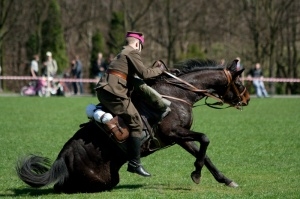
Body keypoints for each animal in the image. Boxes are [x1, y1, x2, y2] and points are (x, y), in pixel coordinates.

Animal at [16, 58, 251, 193]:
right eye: (240, 83)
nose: (248, 100)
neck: (178, 94)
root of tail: (62, 159)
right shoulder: (174, 132)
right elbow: (205, 139)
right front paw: (196, 175)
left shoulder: (180, 137)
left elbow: (204, 154)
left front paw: (224, 179)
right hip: (103, 179)